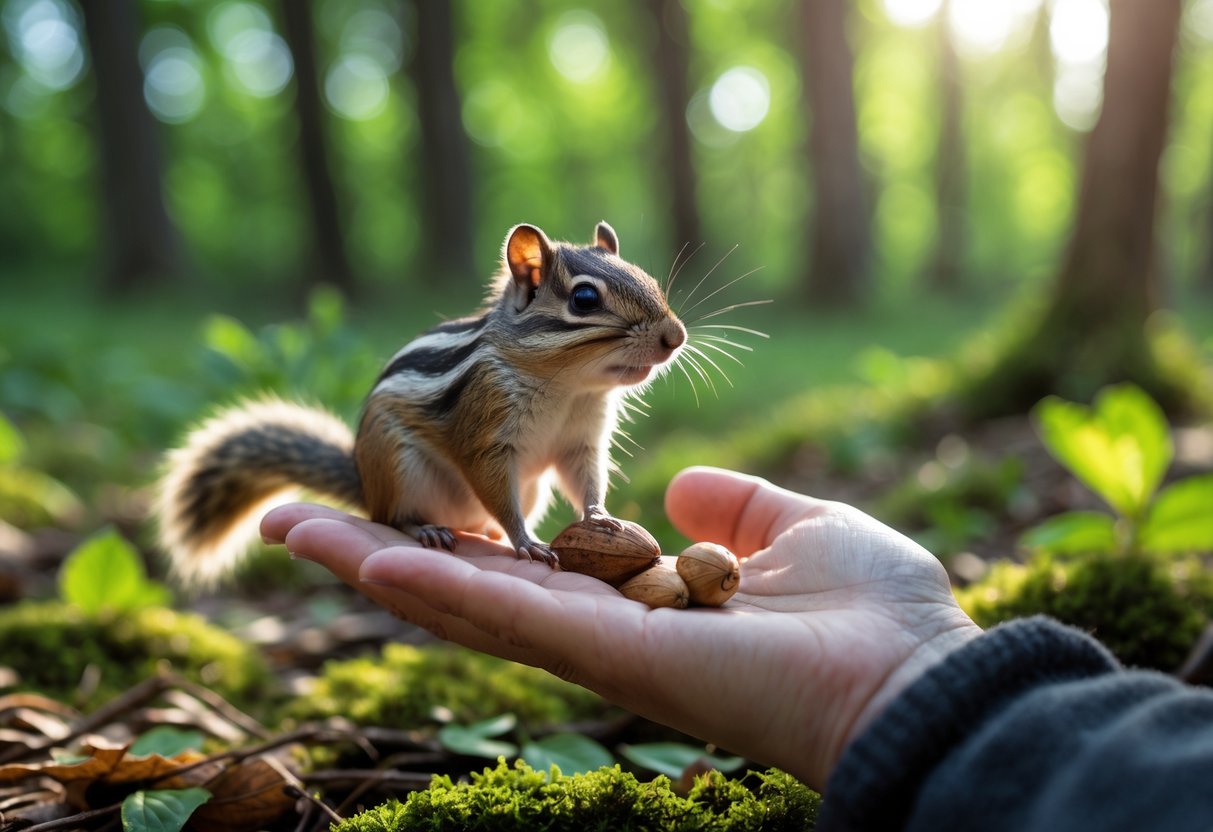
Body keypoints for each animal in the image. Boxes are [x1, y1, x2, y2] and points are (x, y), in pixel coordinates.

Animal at [157, 221, 687, 584]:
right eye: (584, 299)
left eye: (645, 276)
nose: (675, 336)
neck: (567, 387)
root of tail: (366, 483)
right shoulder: (485, 430)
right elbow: (494, 488)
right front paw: (524, 541)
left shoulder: (582, 440)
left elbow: (586, 480)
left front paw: (598, 517)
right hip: (398, 466)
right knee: (391, 517)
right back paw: (425, 530)